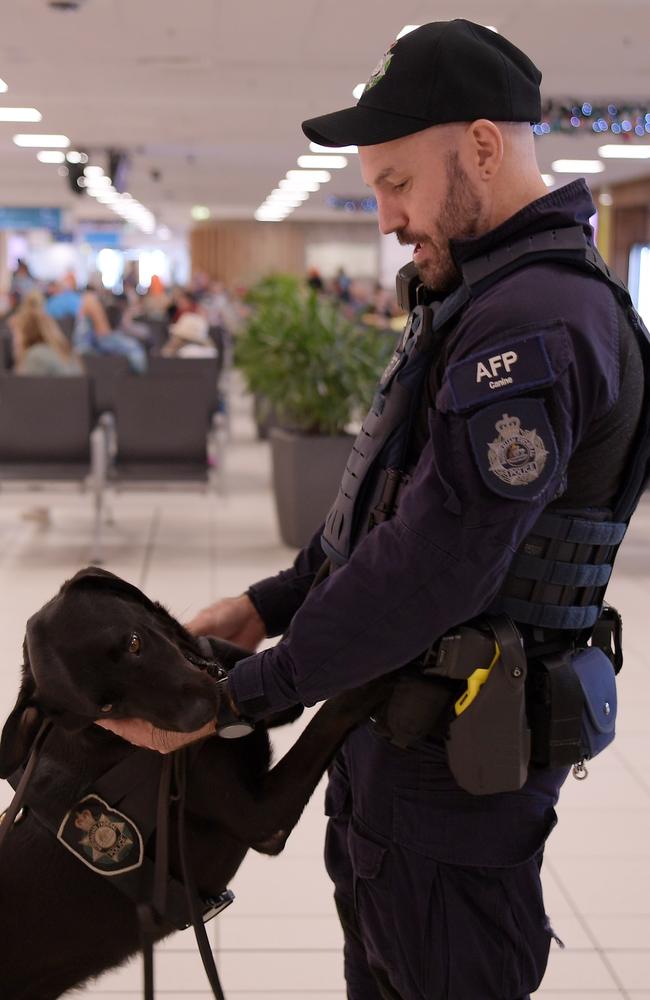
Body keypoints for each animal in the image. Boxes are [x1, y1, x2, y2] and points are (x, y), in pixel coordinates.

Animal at [0, 572, 384, 1000]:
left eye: (134, 642)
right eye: (106, 708)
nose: (200, 716)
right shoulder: (263, 820)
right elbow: (332, 713)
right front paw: (383, 676)